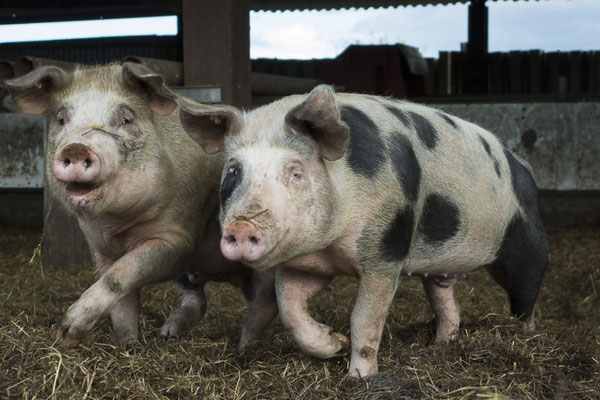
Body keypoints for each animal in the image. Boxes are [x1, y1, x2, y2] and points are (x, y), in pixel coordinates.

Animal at [175, 85, 548, 378]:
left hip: (527, 246)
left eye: (295, 171)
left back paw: (525, 339)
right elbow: (290, 311)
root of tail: (525, 168)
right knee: (447, 304)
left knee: (526, 299)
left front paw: (359, 377)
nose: (241, 226)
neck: (332, 243)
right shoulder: (306, 265)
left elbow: (365, 319)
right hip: (440, 267)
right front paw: (335, 344)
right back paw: (441, 346)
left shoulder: (386, 253)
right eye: (233, 170)